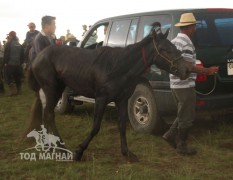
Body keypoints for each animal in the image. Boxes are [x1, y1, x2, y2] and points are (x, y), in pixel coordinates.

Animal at [26, 28, 193, 162]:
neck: (117, 67)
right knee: (49, 114)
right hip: (52, 89)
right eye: (165, 49)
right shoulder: (101, 99)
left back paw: (51, 146)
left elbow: (122, 126)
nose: (186, 70)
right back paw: (61, 148)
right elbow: (95, 127)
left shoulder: (122, 100)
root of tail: (38, 56)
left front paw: (127, 153)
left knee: (47, 114)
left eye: (175, 47)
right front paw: (79, 152)